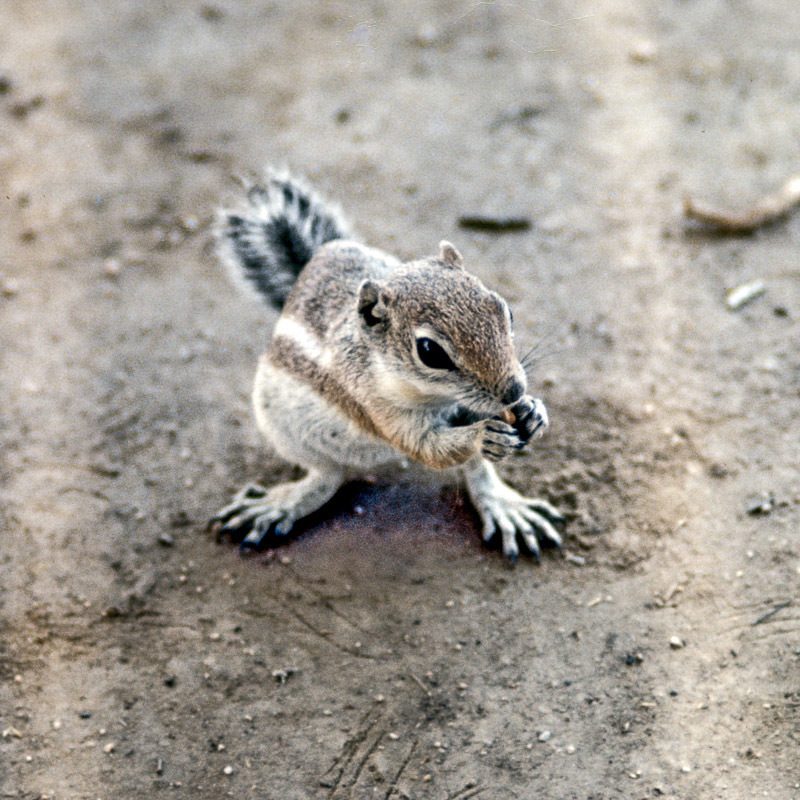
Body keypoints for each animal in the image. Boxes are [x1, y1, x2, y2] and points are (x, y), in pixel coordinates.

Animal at [210, 168, 564, 561]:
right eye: (429, 351)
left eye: (505, 310)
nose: (514, 390)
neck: (433, 395)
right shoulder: (375, 403)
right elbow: (427, 447)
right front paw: (480, 434)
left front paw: (533, 412)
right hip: (287, 430)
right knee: (326, 477)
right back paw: (282, 503)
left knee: (478, 472)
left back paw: (503, 505)